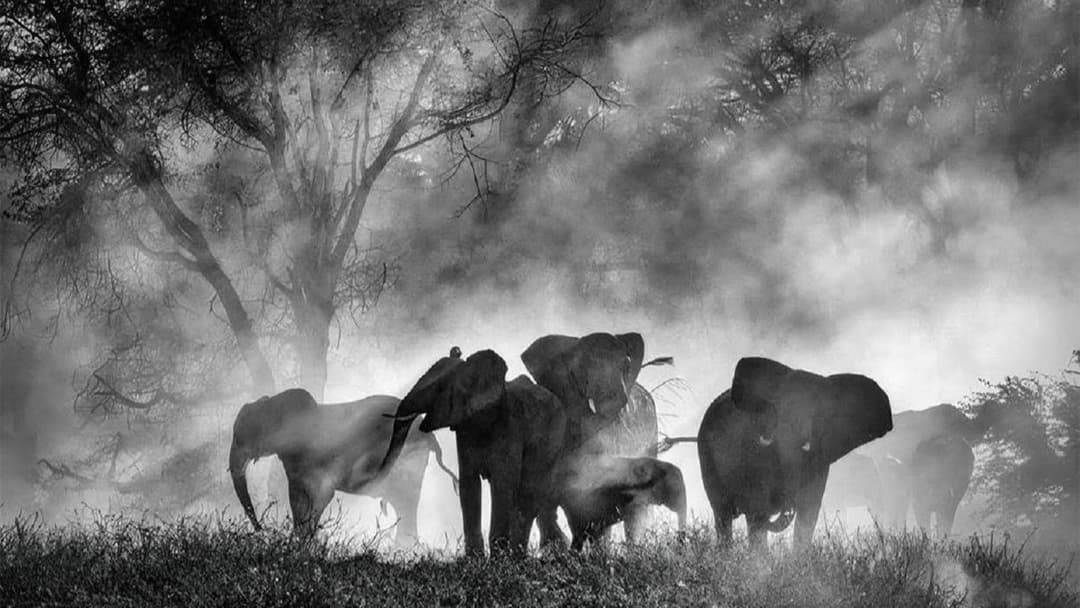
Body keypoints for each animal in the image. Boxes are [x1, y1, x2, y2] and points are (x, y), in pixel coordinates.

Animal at [228, 388, 458, 542]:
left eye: (240, 438)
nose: (262, 530)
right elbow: (298, 498)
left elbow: (320, 495)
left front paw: (302, 543)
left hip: (408, 461)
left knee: (406, 502)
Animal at [698, 357, 893, 549]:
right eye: (777, 409)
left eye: (818, 414)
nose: (788, 504)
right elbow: (757, 508)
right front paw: (760, 559)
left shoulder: (820, 458)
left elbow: (809, 511)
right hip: (707, 456)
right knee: (723, 514)